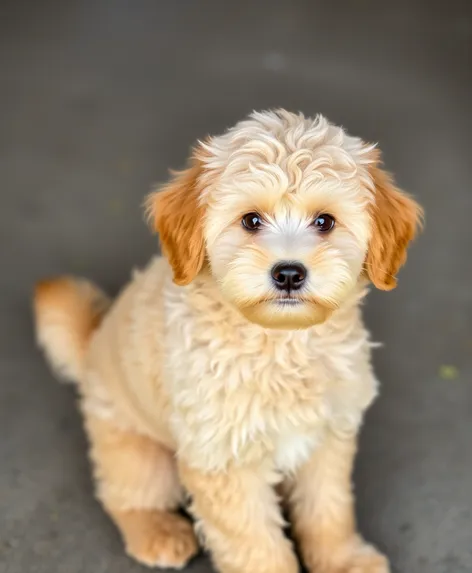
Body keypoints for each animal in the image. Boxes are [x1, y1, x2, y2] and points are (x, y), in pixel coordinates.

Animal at [35, 110, 422, 572]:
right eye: (251, 220)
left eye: (324, 221)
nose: (288, 273)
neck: (280, 345)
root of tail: (93, 343)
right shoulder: (222, 460)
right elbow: (257, 544)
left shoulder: (328, 436)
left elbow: (328, 509)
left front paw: (343, 560)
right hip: (140, 454)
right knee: (124, 496)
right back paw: (157, 531)